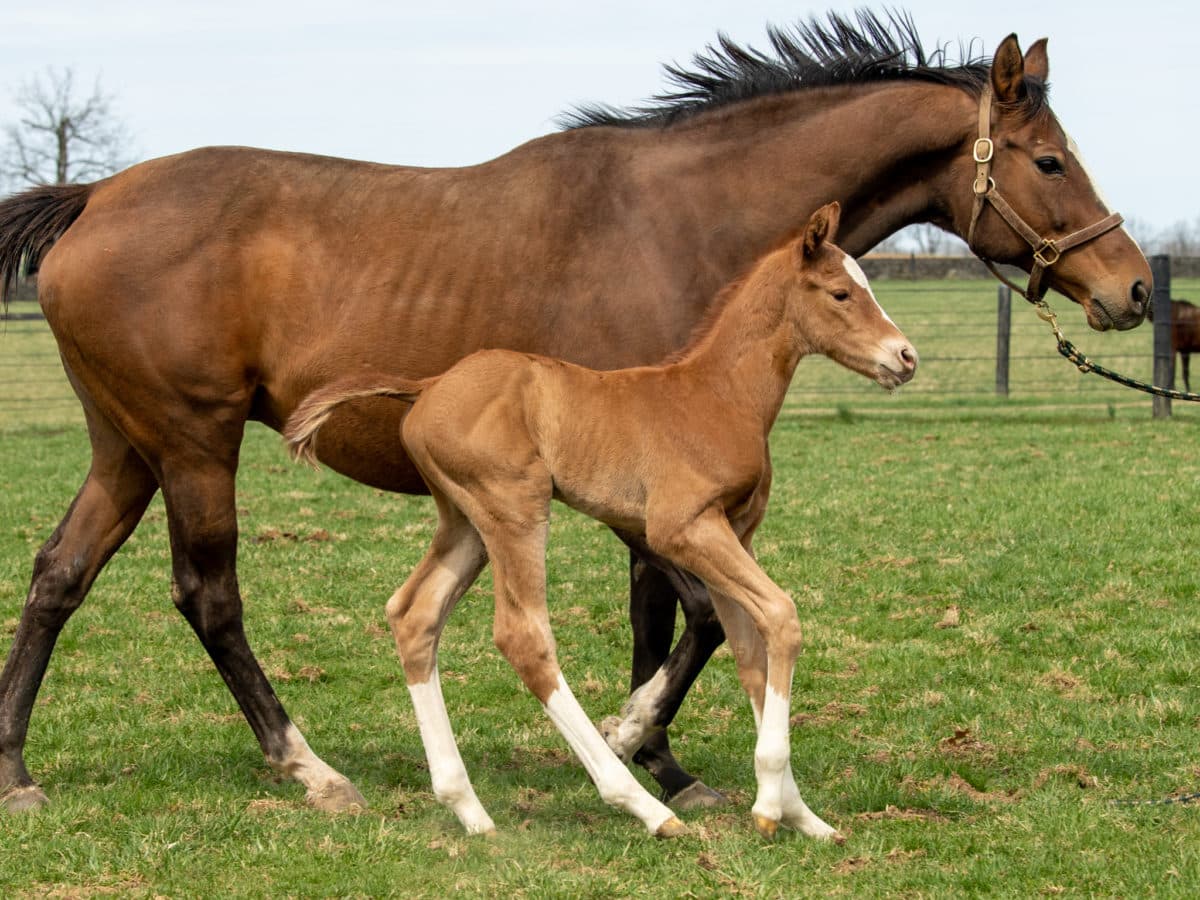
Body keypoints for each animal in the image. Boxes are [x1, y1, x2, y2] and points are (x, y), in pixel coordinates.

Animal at [283, 202, 916, 840]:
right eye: (840, 293)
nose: (905, 357)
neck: (719, 395)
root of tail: (428, 386)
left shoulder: (737, 533)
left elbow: (750, 654)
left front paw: (803, 816)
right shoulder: (683, 528)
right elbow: (782, 618)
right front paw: (768, 808)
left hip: (465, 521)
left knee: (414, 615)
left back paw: (469, 809)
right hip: (515, 507)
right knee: (523, 635)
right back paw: (642, 805)